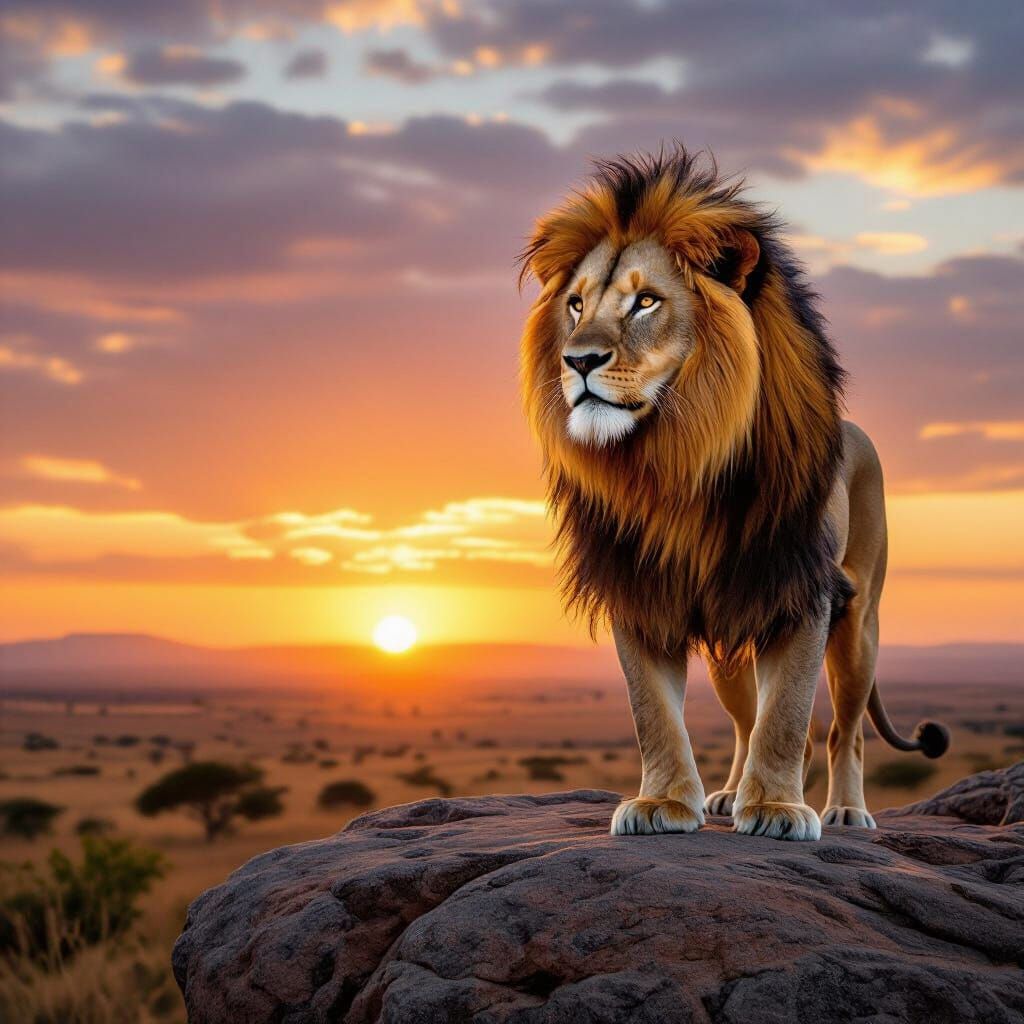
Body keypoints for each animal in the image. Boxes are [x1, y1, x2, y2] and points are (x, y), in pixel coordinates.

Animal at [519, 146, 948, 841]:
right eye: (577, 305)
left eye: (646, 302)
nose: (576, 360)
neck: (675, 461)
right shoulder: (642, 590)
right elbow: (653, 712)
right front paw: (664, 802)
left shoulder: (799, 589)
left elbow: (789, 716)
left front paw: (775, 808)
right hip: (728, 643)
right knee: (748, 722)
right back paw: (727, 794)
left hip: (859, 626)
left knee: (842, 732)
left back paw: (846, 810)